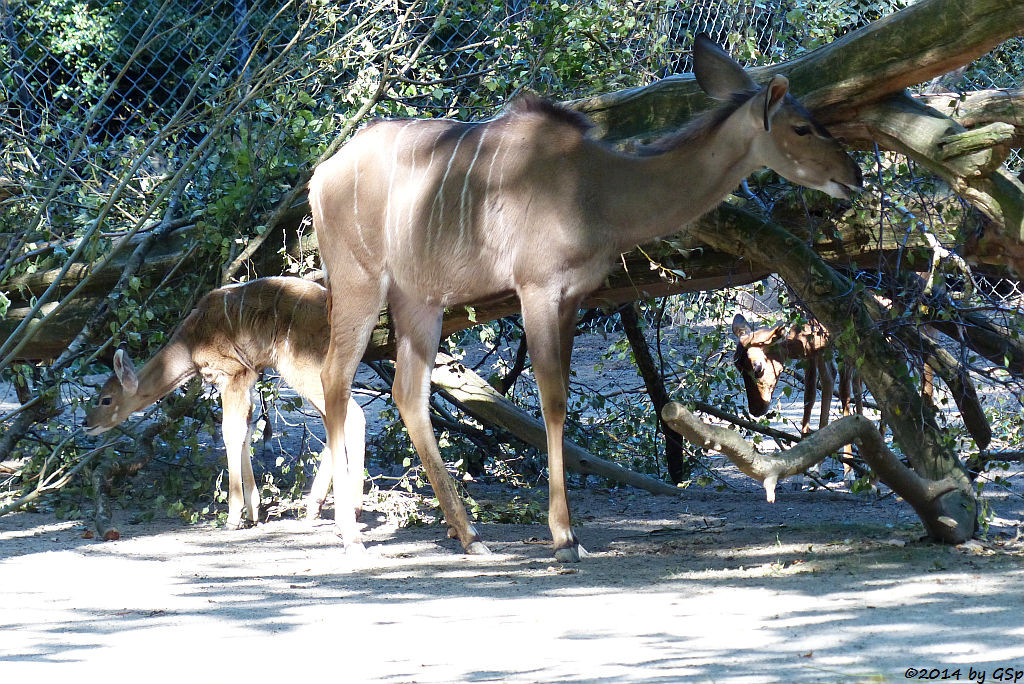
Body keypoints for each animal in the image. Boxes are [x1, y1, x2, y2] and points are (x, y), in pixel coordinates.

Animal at [83, 276, 366, 528]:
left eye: (105, 399)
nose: (86, 423)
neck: (191, 342)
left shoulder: (232, 374)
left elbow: (231, 432)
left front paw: (234, 516)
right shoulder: (248, 377)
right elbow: (247, 429)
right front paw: (253, 511)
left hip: (301, 367)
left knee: (353, 414)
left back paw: (352, 508)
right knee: (334, 418)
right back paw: (315, 507)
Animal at [307, 33, 860, 561]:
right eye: (802, 128)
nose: (853, 175)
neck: (598, 187)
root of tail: (320, 177)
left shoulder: (573, 296)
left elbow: (560, 401)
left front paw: (566, 533)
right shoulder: (537, 288)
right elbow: (551, 400)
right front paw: (564, 536)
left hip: (420, 299)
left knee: (408, 392)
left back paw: (469, 536)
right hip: (360, 282)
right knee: (336, 377)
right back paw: (351, 537)